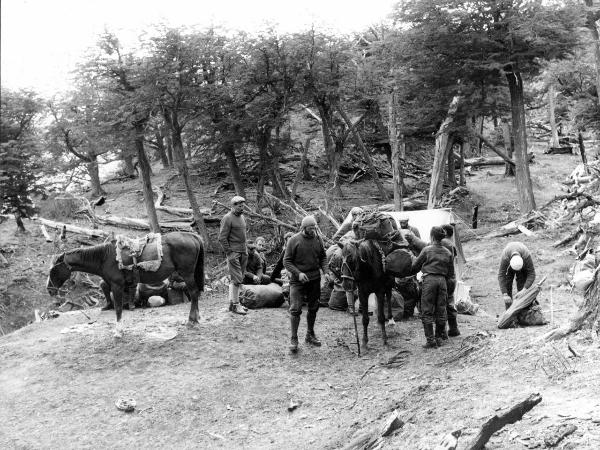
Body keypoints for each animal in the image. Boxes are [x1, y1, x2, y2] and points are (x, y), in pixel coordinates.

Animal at [46, 234, 204, 336]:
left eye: (53, 270)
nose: (49, 290)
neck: (105, 258)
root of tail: (192, 236)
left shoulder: (117, 286)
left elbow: (118, 308)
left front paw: (118, 331)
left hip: (187, 273)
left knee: (194, 293)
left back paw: (191, 320)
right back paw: (196, 318)